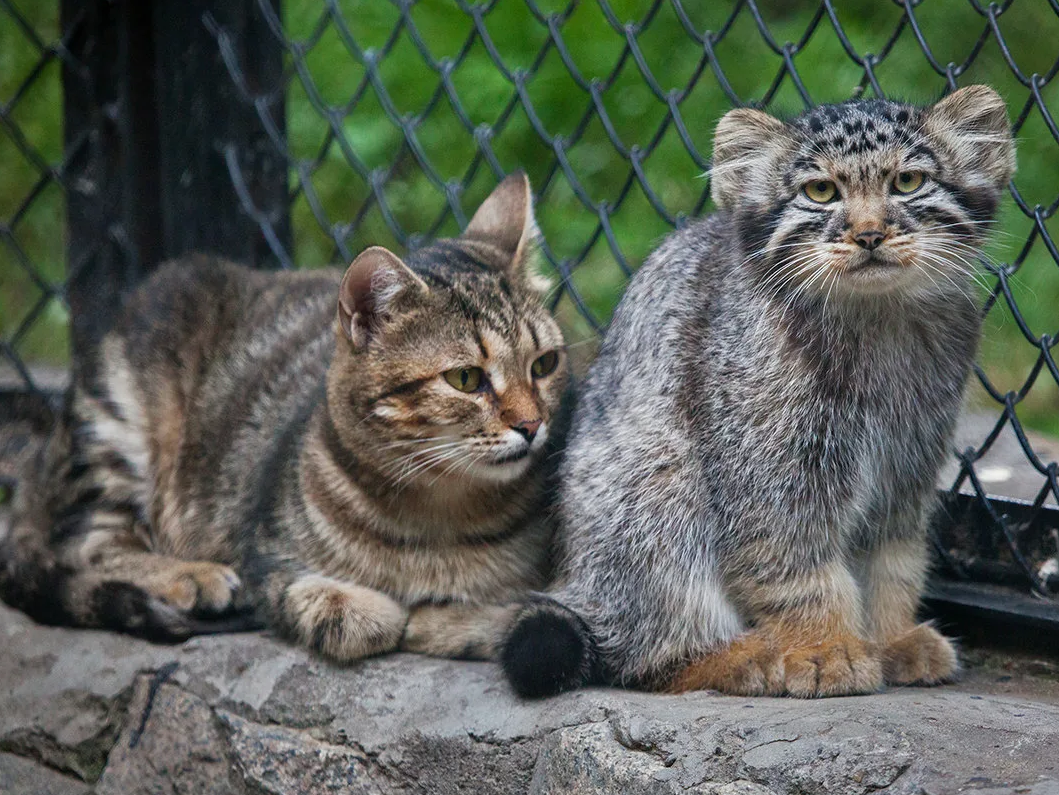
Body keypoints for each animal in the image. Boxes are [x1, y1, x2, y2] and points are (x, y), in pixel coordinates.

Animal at [2, 175, 571, 664]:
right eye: (466, 379)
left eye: (544, 365)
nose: (532, 424)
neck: (437, 516)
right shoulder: (267, 557)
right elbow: (335, 608)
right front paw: (379, 610)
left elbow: (498, 617)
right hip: (119, 425)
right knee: (82, 543)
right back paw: (191, 575)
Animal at [504, 85, 1016, 694]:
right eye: (820, 192)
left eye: (908, 182)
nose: (868, 234)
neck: (877, 324)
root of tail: (577, 585)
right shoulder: (766, 472)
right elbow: (796, 567)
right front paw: (824, 646)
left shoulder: (909, 460)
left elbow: (892, 560)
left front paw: (891, 636)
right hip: (657, 482)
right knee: (639, 656)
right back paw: (743, 654)